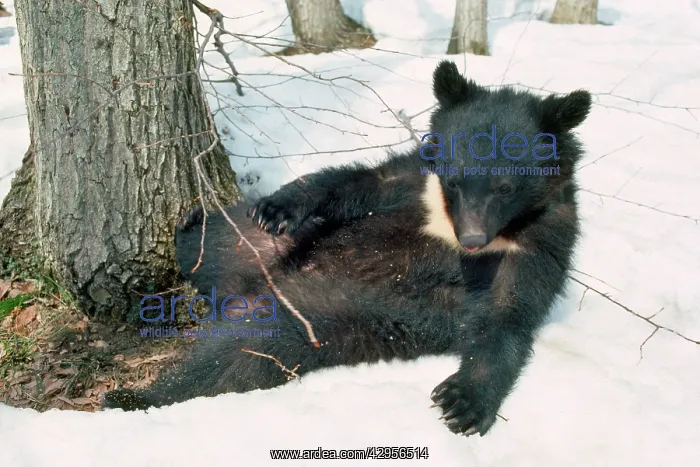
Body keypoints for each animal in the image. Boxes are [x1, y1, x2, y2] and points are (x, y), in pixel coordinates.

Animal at [103, 60, 591, 438]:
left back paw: (132, 396)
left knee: (231, 361)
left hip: (315, 319)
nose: (471, 241)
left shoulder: (541, 240)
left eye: (505, 187)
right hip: (246, 243)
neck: (446, 219)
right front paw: (279, 206)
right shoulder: (413, 179)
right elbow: (358, 183)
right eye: (453, 180)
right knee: (204, 244)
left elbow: (509, 312)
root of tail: (245, 291)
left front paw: (462, 401)